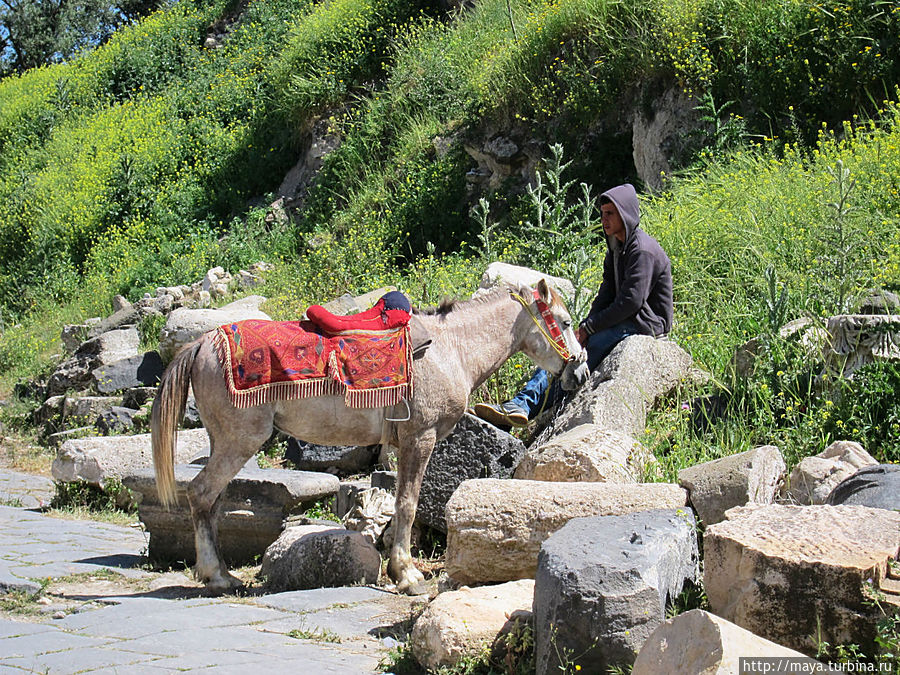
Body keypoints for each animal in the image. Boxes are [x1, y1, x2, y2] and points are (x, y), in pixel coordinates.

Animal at [151, 280, 588, 596]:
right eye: (565, 322)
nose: (580, 372)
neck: (452, 350)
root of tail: (201, 344)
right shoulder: (419, 439)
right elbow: (408, 504)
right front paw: (407, 575)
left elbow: (398, 502)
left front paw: (394, 561)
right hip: (239, 442)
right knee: (201, 495)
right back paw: (217, 576)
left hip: (225, 443)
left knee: (211, 501)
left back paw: (220, 573)